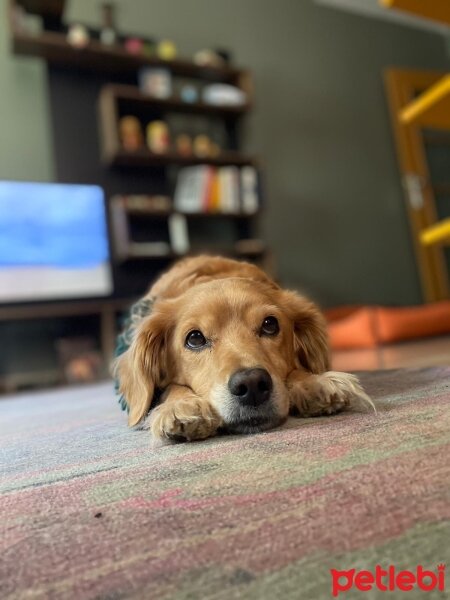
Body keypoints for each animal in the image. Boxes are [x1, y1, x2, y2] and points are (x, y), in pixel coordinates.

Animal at [114, 255, 370, 442]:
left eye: (270, 324)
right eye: (194, 338)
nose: (252, 384)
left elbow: (297, 370)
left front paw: (313, 382)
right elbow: (170, 387)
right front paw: (181, 406)